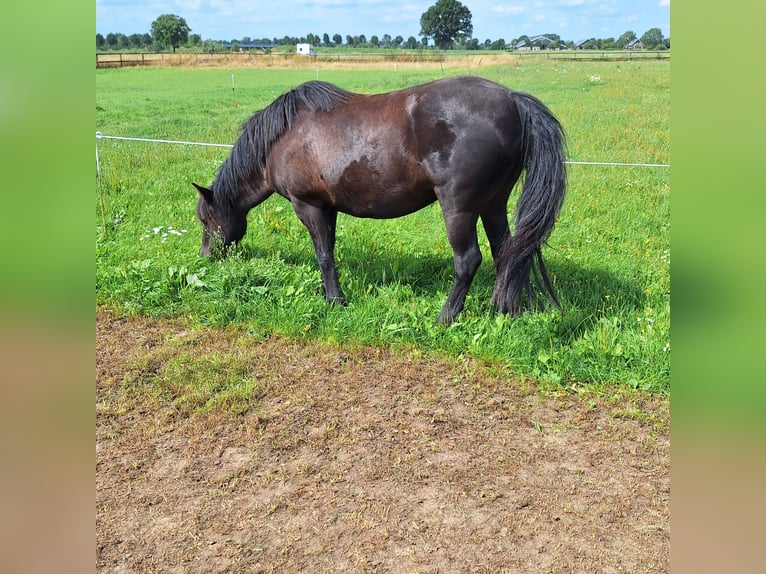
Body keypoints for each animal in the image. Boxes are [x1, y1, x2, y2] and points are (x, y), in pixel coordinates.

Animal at [194, 76, 566, 325]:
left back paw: (444, 319)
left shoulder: (308, 205)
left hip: (459, 208)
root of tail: (513, 99)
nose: (205, 257)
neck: (283, 136)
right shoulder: (328, 208)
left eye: (205, 219)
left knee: (468, 260)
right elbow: (329, 252)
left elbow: (323, 255)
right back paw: (509, 311)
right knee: (510, 253)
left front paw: (335, 301)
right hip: (493, 205)